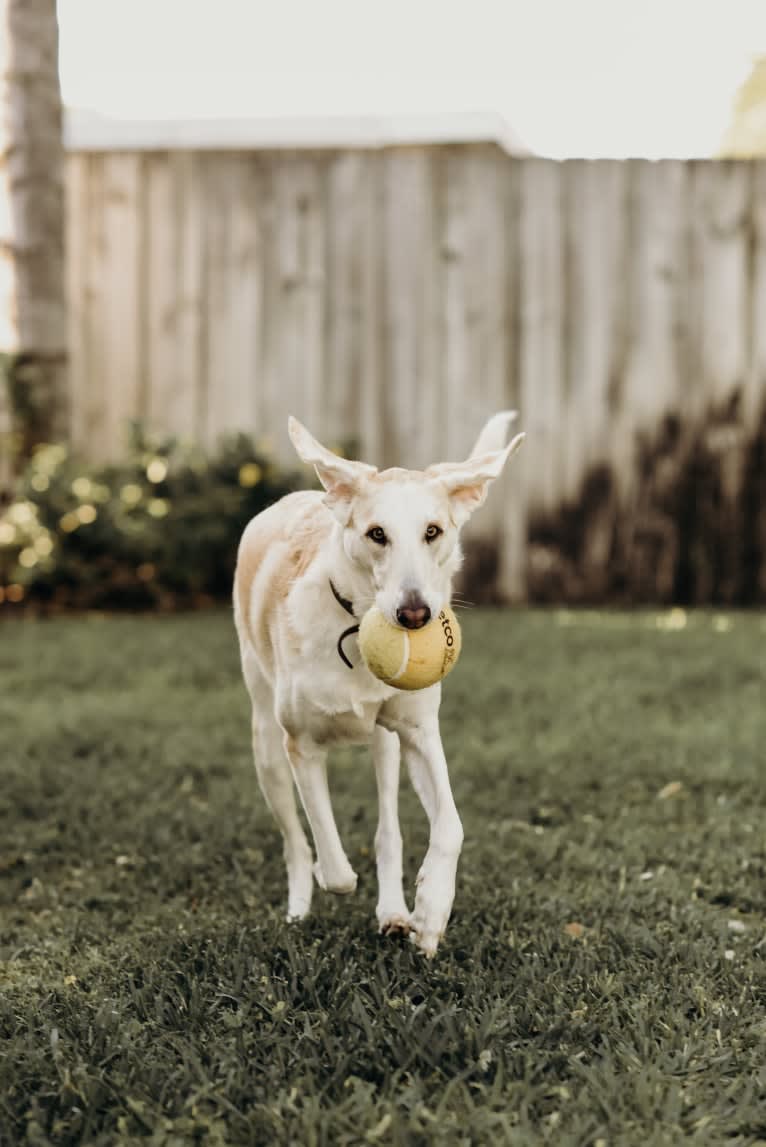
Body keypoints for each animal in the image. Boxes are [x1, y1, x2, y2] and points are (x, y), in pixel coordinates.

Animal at [230, 412, 522, 958]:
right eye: (376, 534)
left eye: (433, 531)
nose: (415, 615)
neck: (355, 625)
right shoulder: (300, 746)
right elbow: (331, 857)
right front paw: (333, 876)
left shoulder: (420, 732)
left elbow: (451, 827)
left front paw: (430, 911)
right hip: (265, 745)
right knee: (293, 840)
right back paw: (300, 905)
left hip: (386, 745)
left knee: (389, 828)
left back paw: (393, 911)